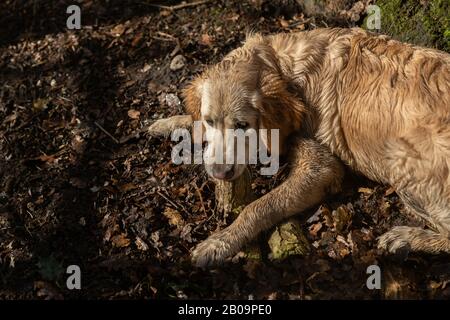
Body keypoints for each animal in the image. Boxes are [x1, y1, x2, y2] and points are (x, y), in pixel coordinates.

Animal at [152, 28, 450, 268]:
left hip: (402, 163)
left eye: (242, 124)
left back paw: (407, 238)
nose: (218, 173)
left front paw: (219, 243)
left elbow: (259, 207)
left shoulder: (323, 168)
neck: (284, 67)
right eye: (210, 120)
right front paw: (169, 123)